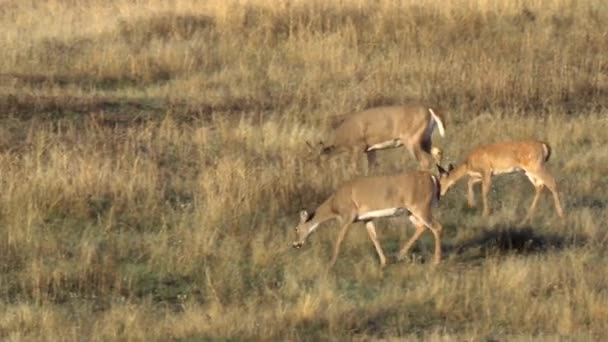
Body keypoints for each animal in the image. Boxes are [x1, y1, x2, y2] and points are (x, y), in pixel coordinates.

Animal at [292, 167, 448, 268]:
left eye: (296, 229)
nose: (295, 244)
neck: (334, 205)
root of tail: (432, 177)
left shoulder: (348, 215)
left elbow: (340, 238)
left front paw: (331, 263)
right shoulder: (366, 219)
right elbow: (374, 237)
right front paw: (384, 262)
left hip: (420, 206)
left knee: (437, 227)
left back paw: (436, 261)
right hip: (411, 211)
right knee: (422, 226)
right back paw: (400, 254)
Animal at [308, 103, 446, 172]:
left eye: (319, 161)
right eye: (312, 161)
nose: (317, 174)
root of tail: (430, 111)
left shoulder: (358, 147)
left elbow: (354, 167)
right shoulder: (370, 149)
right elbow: (372, 167)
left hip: (412, 139)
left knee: (425, 161)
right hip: (425, 139)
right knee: (437, 151)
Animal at [436, 140, 564, 222]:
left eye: (440, 182)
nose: (440, 194)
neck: (468, 164)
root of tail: (544, 145)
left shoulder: (486, 171)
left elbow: (484, 192)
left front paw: (485, 214)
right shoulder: (481, 175)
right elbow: (470, 182)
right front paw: (471, 204)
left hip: (536, 166)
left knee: (552, 182)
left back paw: (561, 214)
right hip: (528, 170)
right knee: (540, 185)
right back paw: (529, 215)